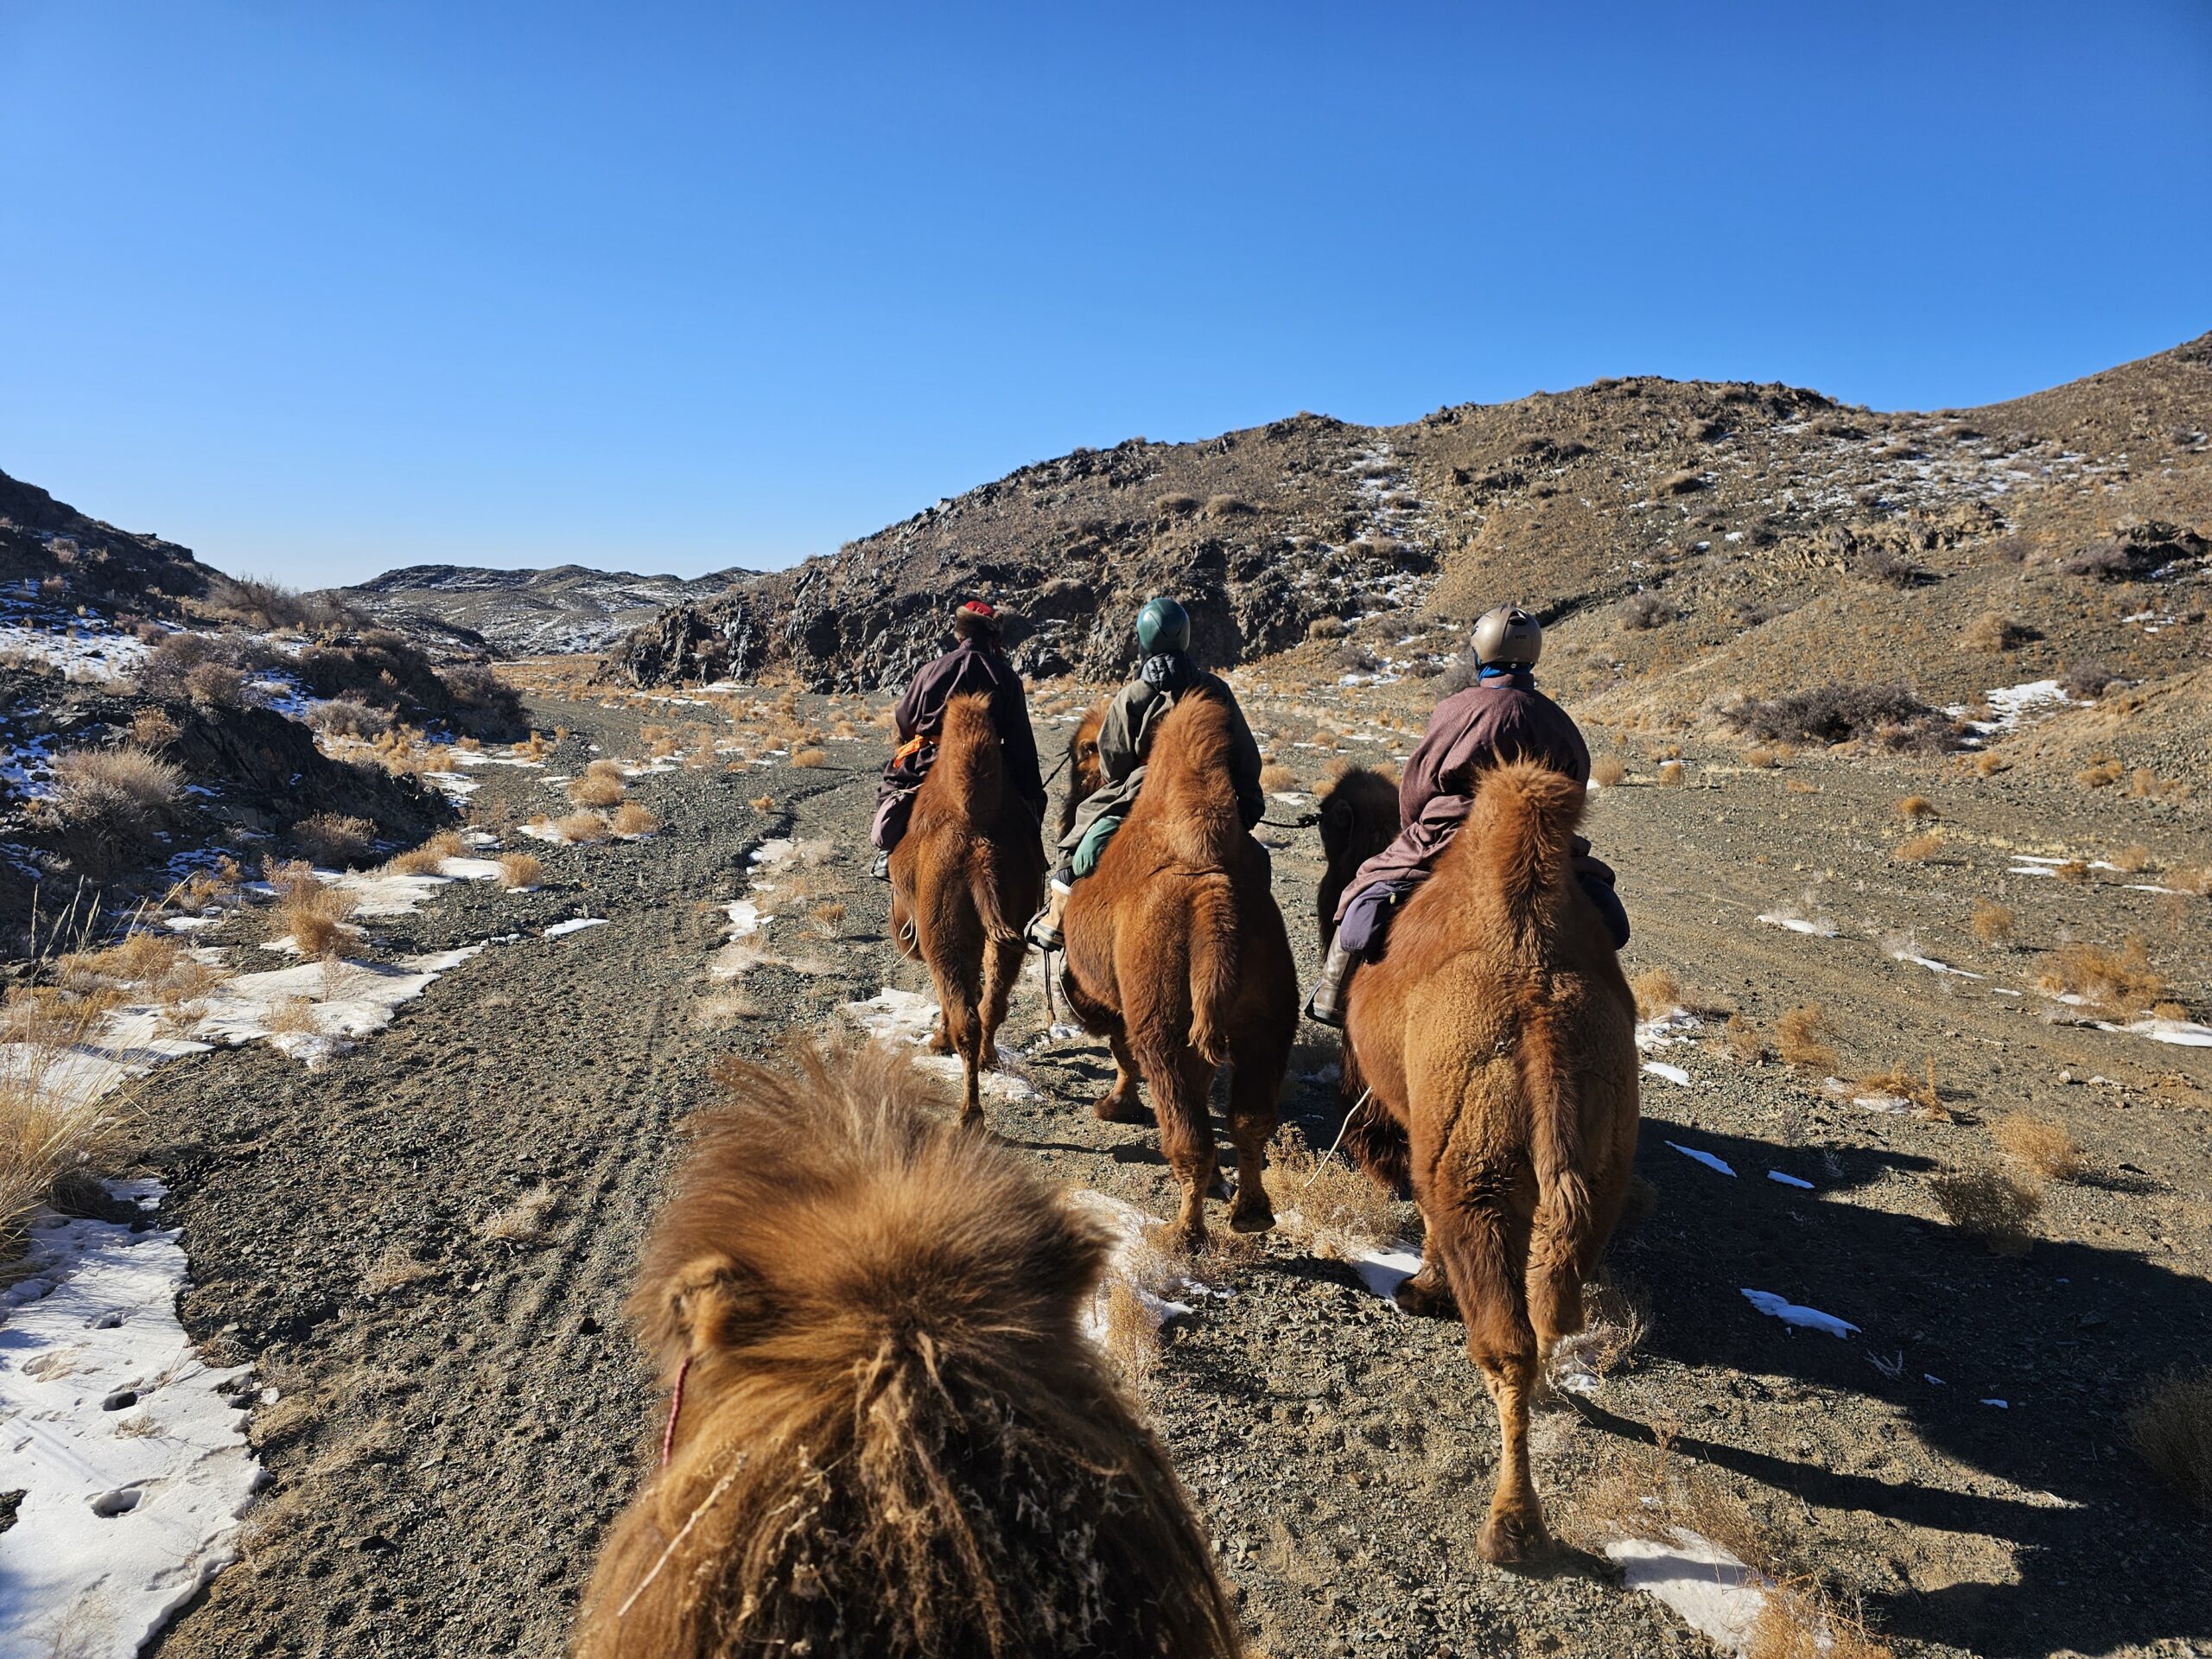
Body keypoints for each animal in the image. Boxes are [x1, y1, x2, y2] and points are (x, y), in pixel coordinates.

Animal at [888, 692, 1046, 1124]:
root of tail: (979, 853)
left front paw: (937, 1042)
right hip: (1010, 927)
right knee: (993, 1002)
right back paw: (988, 1061)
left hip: (943, 934)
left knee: (965, 1016)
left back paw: (968, 1111)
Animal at [1056, 693, 1296, 1249]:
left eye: (1082, 756)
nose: (1067, 807)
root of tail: (1212, 893)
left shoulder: (1113, 999)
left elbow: (1121, 1053)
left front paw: (1115, 1106)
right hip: (1267, 1025)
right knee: (1250, 1120)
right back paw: (1250, 1212)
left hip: (1162, 1027)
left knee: (1189, 1137)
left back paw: (1182, 1234)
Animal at [1320, 759, 1640, 1564]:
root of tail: (1543, 1021)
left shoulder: (1411, 1119)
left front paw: (1423, 1290)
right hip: (1600, 1171)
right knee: (1550, 1313)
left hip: (1480, 1177)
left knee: (1507, 1343)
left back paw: (1511, 1527)